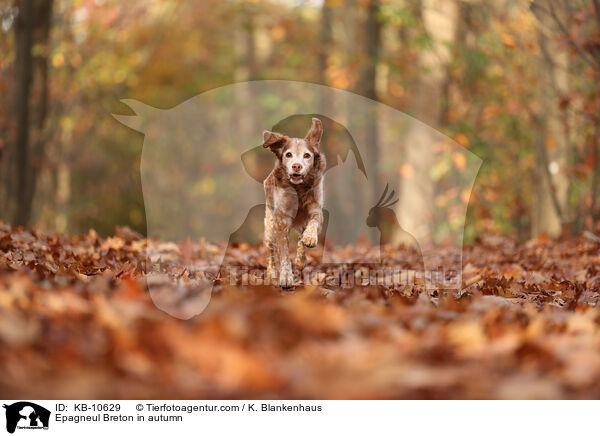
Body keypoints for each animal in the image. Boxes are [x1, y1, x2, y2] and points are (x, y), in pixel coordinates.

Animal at [264, 117, 326, 288]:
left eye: (307, 155)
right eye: (288, 154)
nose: (296, 166)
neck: (299, 190)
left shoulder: (315, 209)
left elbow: (312, 224)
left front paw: (310, 239)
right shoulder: (280, 221)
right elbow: (284, 253)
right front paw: (285, 277)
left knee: (300, 239)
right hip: (269, 227)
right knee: (271, 253)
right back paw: (272, 275)